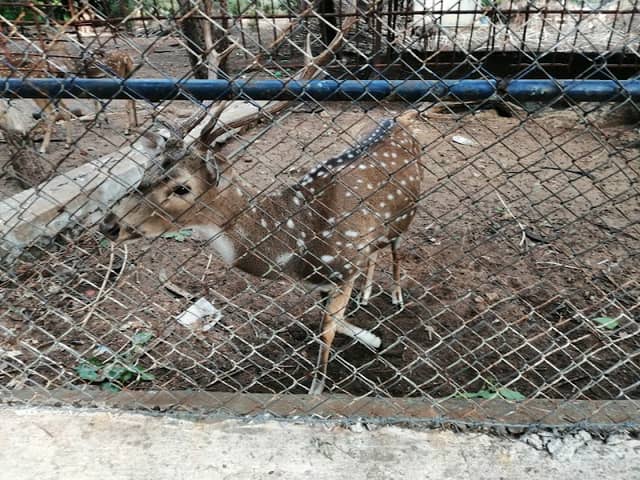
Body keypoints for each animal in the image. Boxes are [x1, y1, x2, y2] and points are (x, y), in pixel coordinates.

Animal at [99, 110, 424, 394]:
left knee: (395, 249)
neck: (296, 251)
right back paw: (367, 294)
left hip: (406, 214)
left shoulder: (343, 268)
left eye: (182, 188)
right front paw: (370, 337)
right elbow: (331, 320)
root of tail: (402, 119)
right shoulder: (327, 279)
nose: (109, 224)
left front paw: (319, 387)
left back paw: (396, 296)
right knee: (376, 251)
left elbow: (327, 328)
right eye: (146, 170)